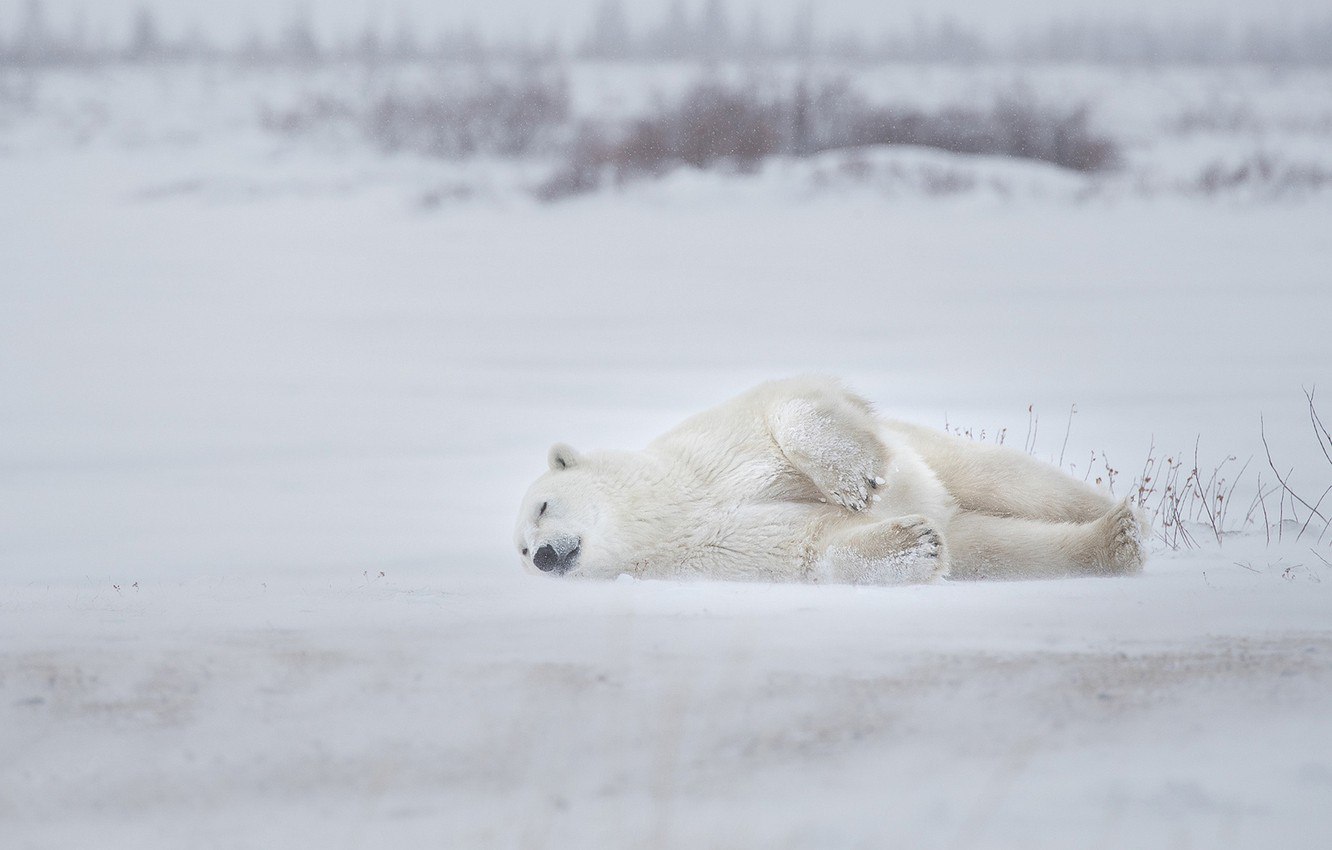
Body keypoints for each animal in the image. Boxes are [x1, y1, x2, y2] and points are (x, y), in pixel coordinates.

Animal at [508, 378, 1145, 586]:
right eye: (518, 551)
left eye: (542, 507)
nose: (542, 556)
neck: (668, 507)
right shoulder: (704, 551)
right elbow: (809, 547)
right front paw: (914, 544)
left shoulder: (708, 452)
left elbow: (789, 405)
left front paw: (853, 482)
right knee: (996, 547)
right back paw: (1113, 543)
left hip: (932, 456)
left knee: (1012, 480)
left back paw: (1116, 516)